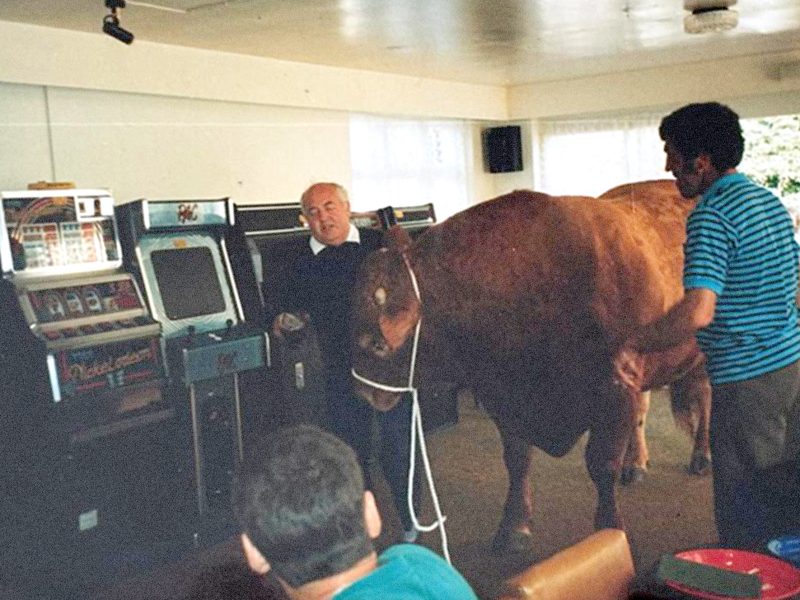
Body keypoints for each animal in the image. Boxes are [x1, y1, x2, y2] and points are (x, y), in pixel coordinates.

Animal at [350, 179, 711, 552]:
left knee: (704, 399)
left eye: (377, 344)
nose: (363, 391)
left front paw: (610, 531)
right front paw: (513, 526)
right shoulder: (504, 398)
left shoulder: (614, 391)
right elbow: (517, 460)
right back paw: (636, 462)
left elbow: (601, 464)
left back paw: (701, 456)